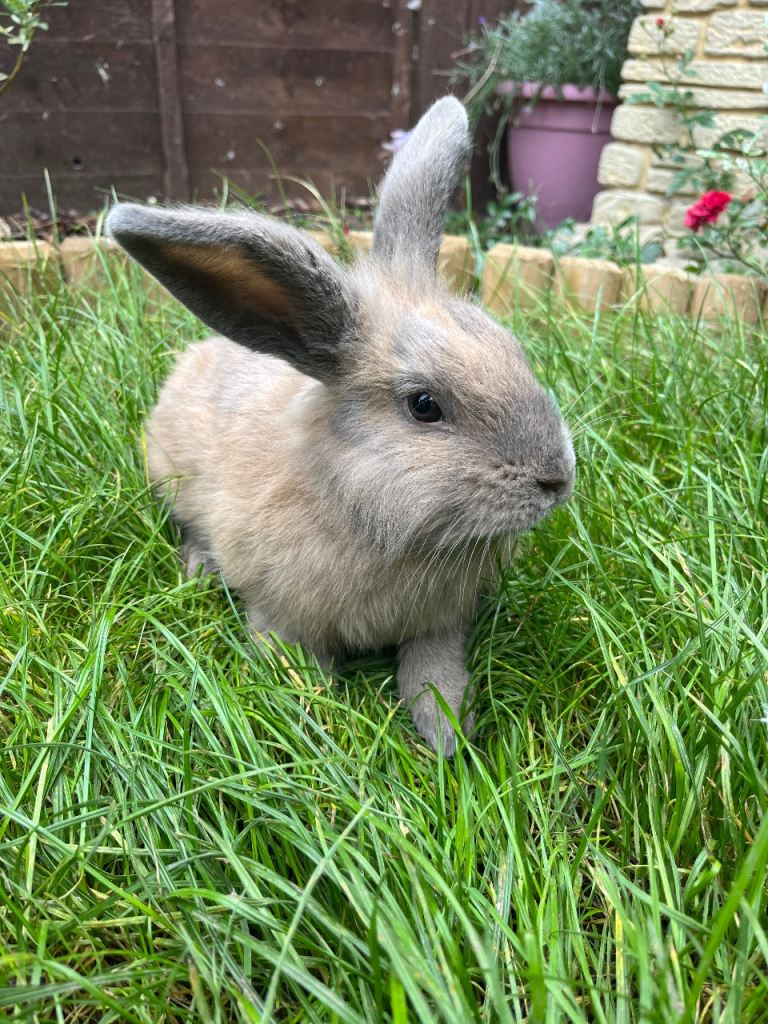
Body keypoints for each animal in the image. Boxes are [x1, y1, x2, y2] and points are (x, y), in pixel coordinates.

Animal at [106, 96, 575, 755]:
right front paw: (316, 728)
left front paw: (447, 735)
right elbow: (297, 669)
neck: (365, 514)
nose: (557, 479)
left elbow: (434, 672)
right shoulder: (281, 612)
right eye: (423, 405)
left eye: (515, 351)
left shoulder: (440, 625)